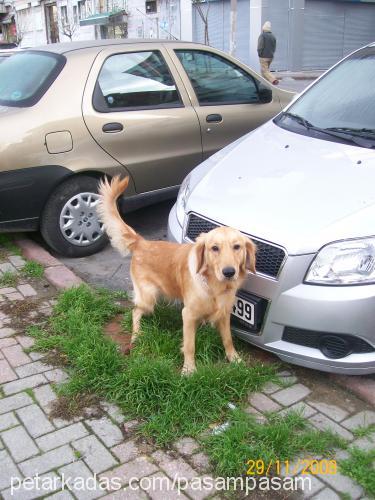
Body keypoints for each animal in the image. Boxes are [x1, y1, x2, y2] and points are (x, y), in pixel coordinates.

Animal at [97, 177, 258, 376]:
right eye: (214, 248)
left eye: (237, 247)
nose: (229, 272)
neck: (213, 286)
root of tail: (142, 242)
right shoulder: (187, 314)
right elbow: (190, 345)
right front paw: (188, 369)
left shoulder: (224, 313)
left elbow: (228, 339)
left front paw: (235, 359)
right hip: (148, 296)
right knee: (135, 311)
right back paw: (137, 335)